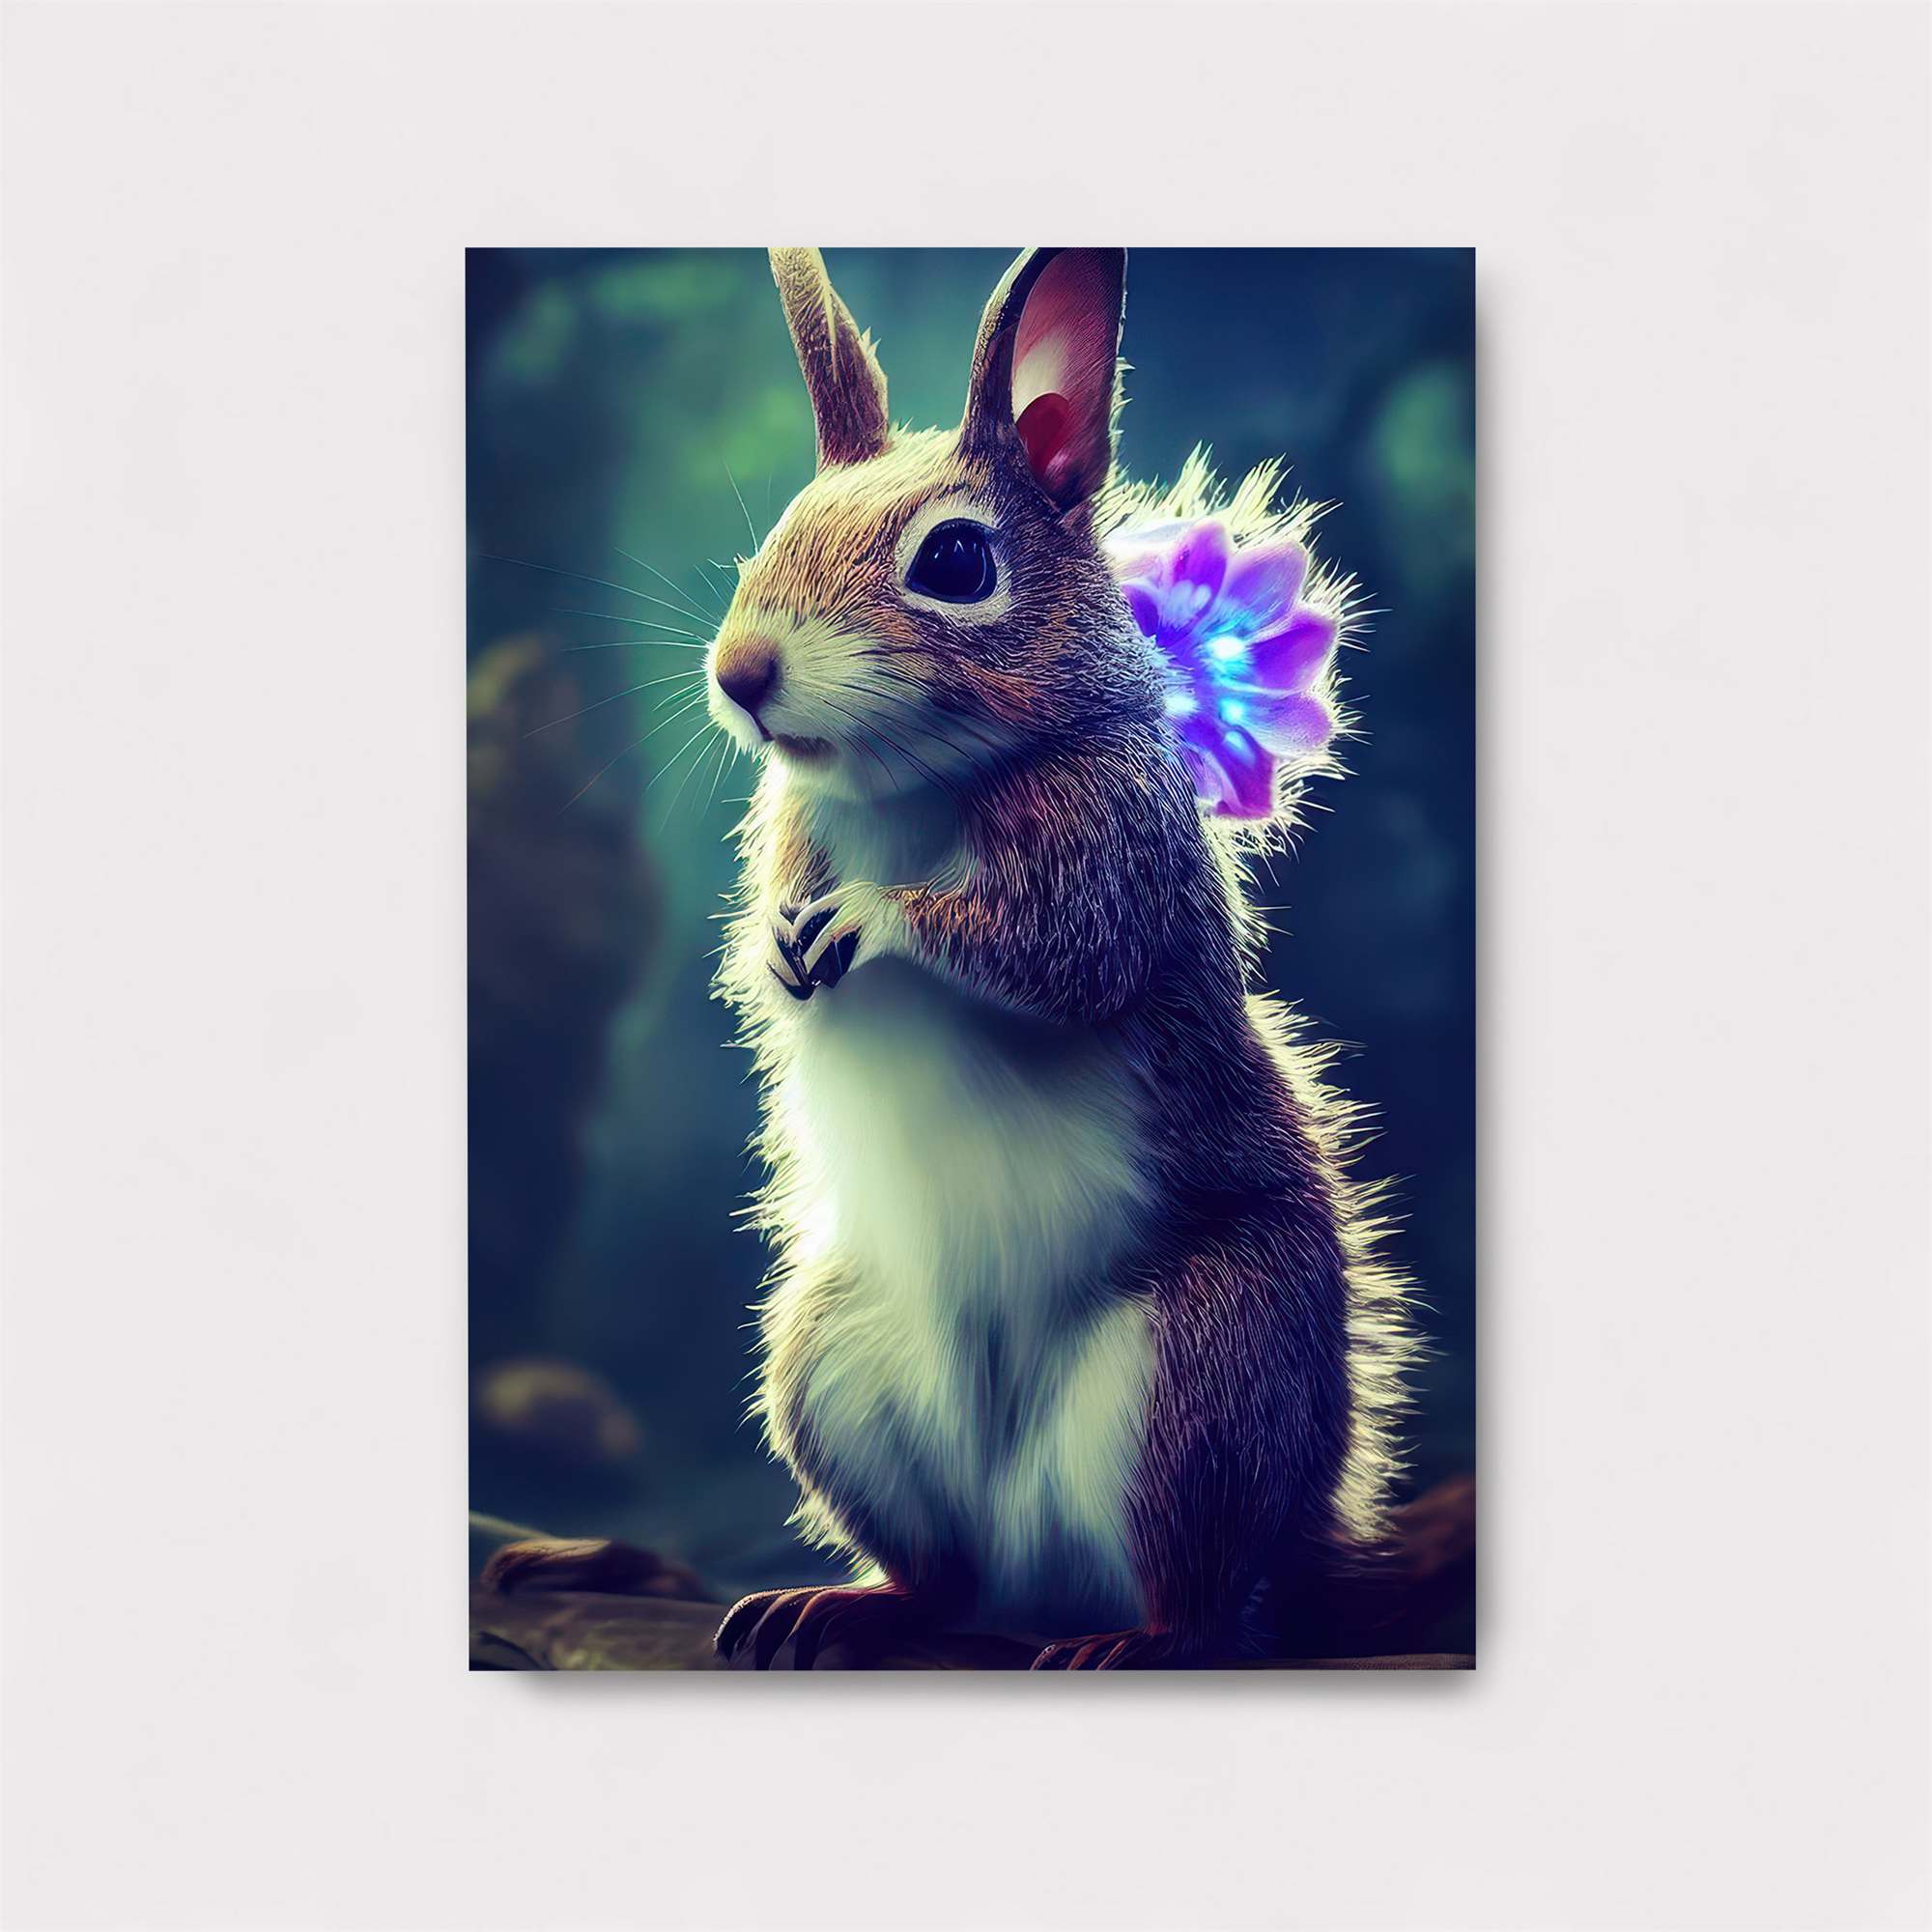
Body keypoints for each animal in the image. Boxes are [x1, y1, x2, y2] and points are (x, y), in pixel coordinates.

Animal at [704, 247, 1418, 1669]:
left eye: (956, 558)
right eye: (776, 536)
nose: (739, 671)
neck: (908, 782)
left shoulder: (1112, 834)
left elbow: (1064, 950)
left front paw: (876, 916)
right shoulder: (793, 828)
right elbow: (767, 960)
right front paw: (778, 947)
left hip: (1203, 1375)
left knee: (1203, 1601)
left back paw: (1140, 1638)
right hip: (834, 1361)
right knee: (941, 1580)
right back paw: (848, 1602)